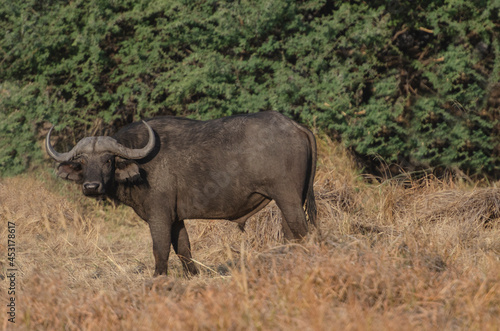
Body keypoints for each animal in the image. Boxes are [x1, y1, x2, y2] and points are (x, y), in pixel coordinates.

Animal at [47, 112, 316, 278]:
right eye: (83, 161)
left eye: (107, 160)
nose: (91, 187)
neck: (141, 165)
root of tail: (295, 126)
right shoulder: (176, 218)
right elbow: (184, 249)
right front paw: (192, 277)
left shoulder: (159, 216)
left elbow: (160, 249)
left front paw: (158, 278)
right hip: (289, 201)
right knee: (291, 234)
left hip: (288, 199)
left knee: (302, 232)